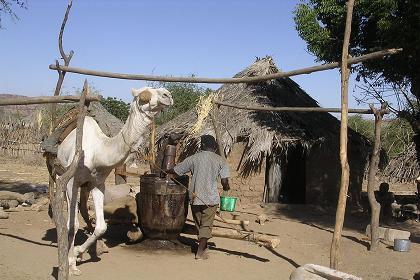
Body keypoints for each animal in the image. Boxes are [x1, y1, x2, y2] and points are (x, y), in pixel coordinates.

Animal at [53, 86, 174, 274]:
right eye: (144, 95)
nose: (167, 95)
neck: (98, 152)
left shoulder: (97, 184)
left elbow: (102, 227)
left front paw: (79, 252)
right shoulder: (72, 181)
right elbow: (72, 224)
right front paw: (70, 262)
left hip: (85, 186)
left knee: (84, 209)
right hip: (60, 175)